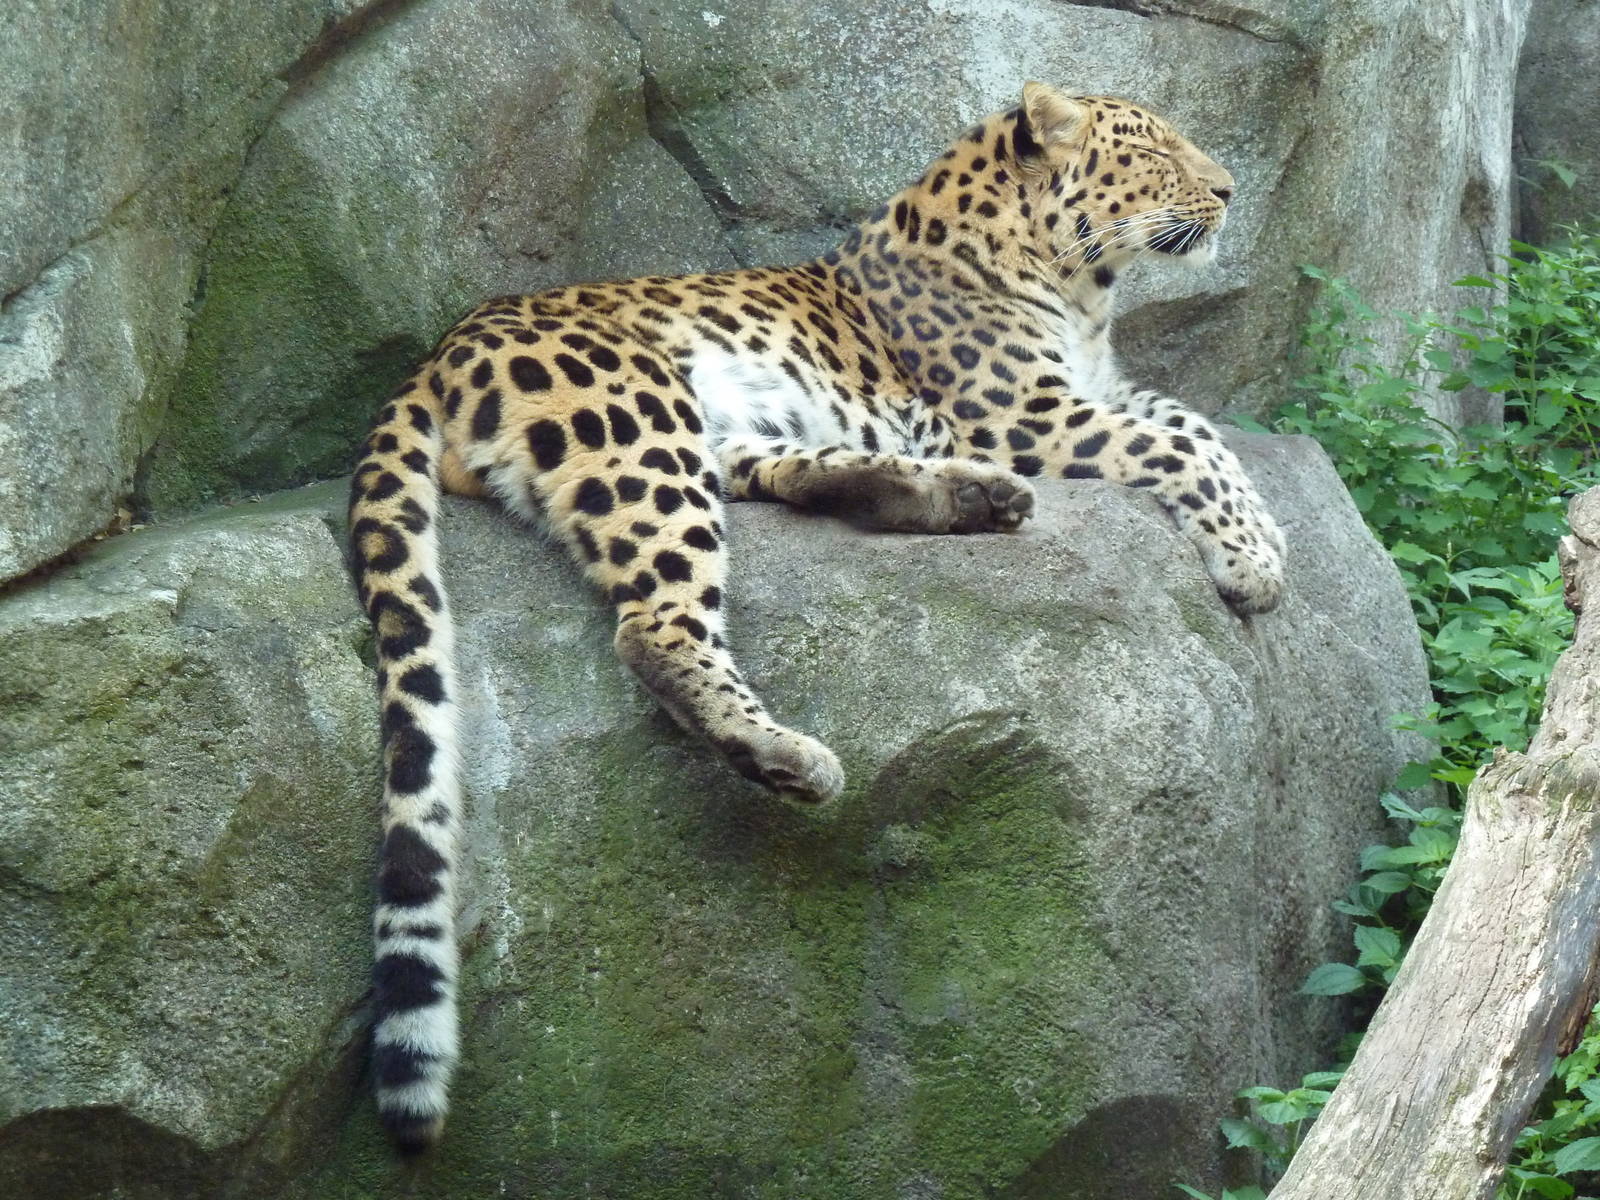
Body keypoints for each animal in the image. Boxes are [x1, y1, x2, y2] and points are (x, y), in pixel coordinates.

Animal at [347, 81, 1287, 1151]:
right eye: (1153, 150)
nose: (1227, 188)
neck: (1082, 288)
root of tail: (441, 352)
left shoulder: (1093, 394)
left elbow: (1195, 423)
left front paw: (1257, 538)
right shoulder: (1030, 417)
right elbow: (1185, 440)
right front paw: (1253, 561)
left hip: (721, 436)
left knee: (789, 479)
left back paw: (954, 496)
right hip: (642, 424)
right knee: (657, 624)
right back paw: (789, 754)